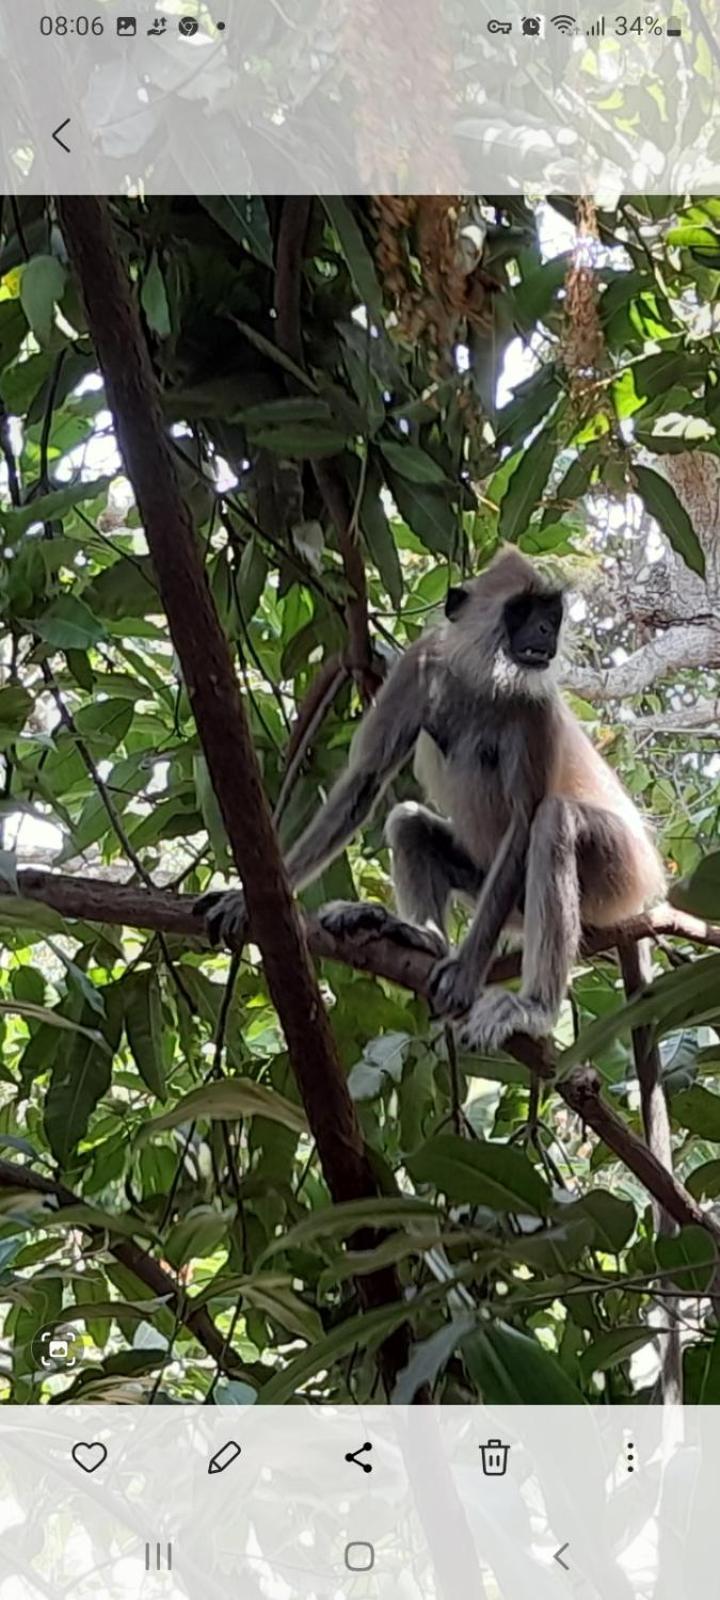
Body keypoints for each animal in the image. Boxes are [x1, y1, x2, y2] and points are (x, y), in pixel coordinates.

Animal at [195, 544, 662, 1056]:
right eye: (524, 611)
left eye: (550, 615)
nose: (544, 632)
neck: (483, 681)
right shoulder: (420, 666)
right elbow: (365, 780)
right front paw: (246, 899)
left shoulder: (535, 708)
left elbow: (524, 823)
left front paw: (465, 976)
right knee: (408, 822)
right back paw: (421, 937)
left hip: (619, 874)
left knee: (553, 821)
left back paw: (533, 1007)